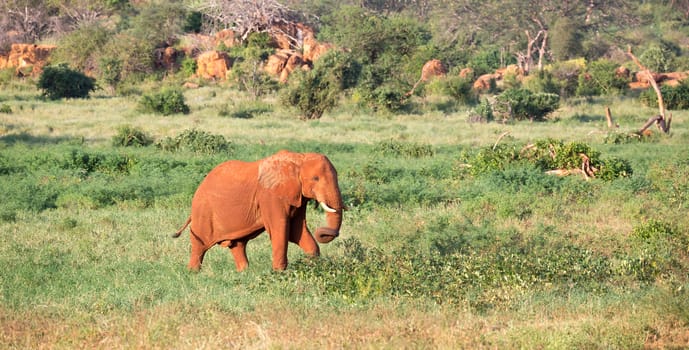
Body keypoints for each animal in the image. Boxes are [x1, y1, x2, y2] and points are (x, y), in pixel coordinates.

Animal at [172, 150, 344, 270]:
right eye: (316, 178)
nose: (323, 231)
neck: (299, 158)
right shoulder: (269, 196)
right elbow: (280, 229)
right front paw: (279, 272)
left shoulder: (297, 197)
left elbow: (297, 230)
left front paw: (313, 263)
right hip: (203, 211)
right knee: (199, 244)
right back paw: (193, 272)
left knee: (238, 244)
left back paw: (244, 272)